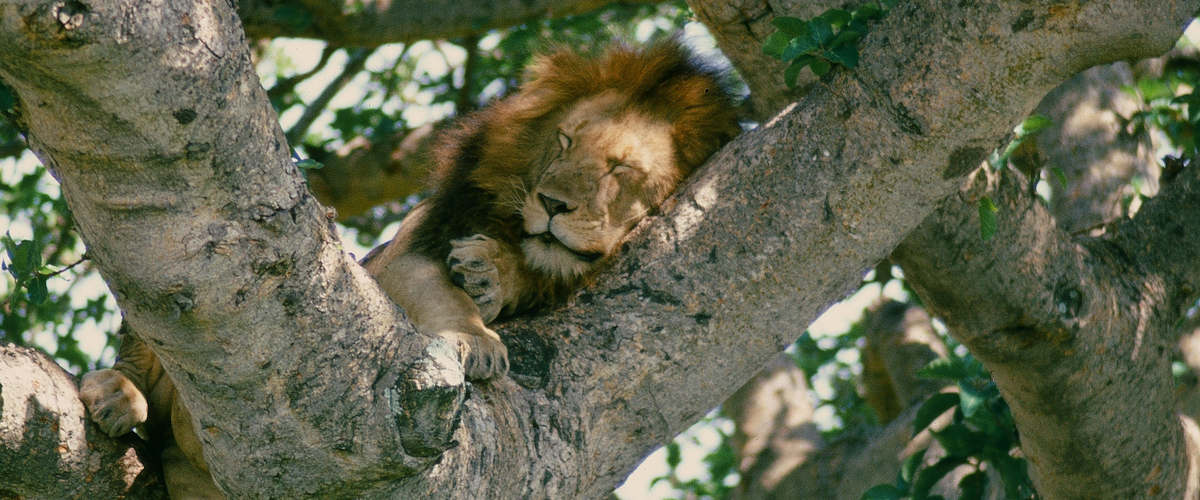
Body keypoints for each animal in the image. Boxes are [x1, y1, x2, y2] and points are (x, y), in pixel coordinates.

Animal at [77, 39, 739, 498]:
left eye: (620, 169)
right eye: (565, 141)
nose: (552, 203)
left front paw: (490, 272)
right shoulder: (404, 252)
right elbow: (440, 294)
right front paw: (477, 336)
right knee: (146, 347)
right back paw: (116, 395)